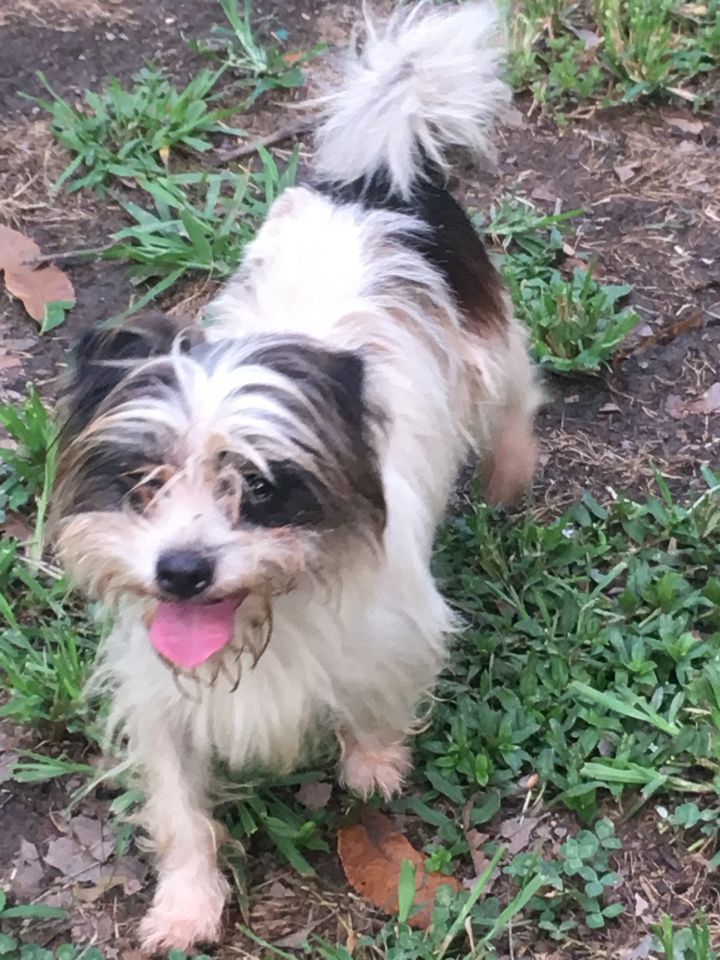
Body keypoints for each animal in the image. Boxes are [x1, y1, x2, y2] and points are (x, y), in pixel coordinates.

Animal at [52, 1, 540, 952]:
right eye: (143, 484)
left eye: (259, 487)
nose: (181, 570)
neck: (263, 616)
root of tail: (376, 181)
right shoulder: (157, 694)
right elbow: (179, 808)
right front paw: (186, 904)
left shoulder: (392, 632)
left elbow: (379, 706)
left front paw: (376, 762)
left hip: (484, 349)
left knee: (519, 387)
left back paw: (511, 469)